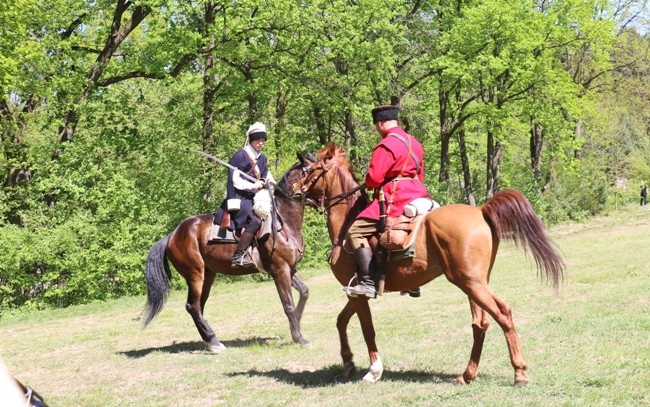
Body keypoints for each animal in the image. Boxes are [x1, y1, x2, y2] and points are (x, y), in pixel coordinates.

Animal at [142, 155, 314, 352]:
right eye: (313, 169)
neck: (283, 223)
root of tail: (172, 235)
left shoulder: (290, 269)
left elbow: (304, 292)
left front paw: (297, 326)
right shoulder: (280, 270)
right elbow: (289, 305)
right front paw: (299, 338)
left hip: (208, 275)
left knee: (199, 306)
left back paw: (210, 341)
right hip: (195, 274)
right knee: (193, 306)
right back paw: (214, 341)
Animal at [292, 143, 564, 386]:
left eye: (310, 169)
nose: (294, 189)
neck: (347, 222)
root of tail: (481, 210)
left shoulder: (359, 293)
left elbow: (367, 329)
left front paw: (374, 371)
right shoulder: (354, 292)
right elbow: (341, 321)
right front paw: (348, 362)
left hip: (470, 283)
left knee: (503, 314)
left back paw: (519, 373)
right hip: (474, 284)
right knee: (480, 324)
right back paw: (467, 375)